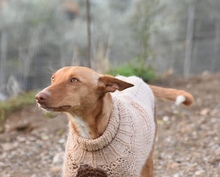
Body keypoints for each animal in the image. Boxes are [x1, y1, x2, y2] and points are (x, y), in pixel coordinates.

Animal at [35, 65, 192, 176]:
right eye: (53, 78)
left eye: (74, 80)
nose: (38, 97)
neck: (91, 139)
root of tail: (138, 79)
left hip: (148, 161)